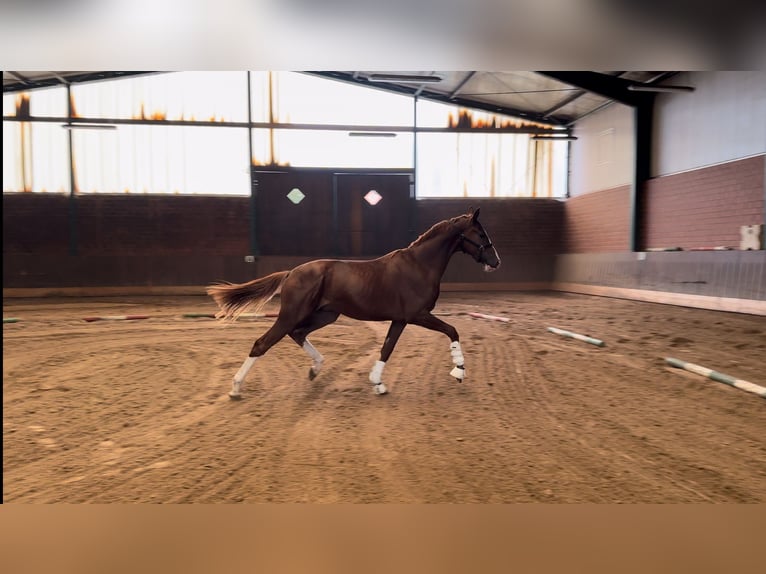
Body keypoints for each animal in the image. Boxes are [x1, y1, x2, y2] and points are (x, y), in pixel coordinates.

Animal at [207, 208, 500, 400]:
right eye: (481, 234)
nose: (496, 262)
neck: (419, 265)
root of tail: (291, 273)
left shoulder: (401, 319)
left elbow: (387, 348)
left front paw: (377, 384)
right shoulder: (418, 314)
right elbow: (452, 330)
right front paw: (459, 370)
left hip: (325, 315)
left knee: (297, 334)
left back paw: (315, 369)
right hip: (293, 314)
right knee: (262, 343)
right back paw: (235, 388)